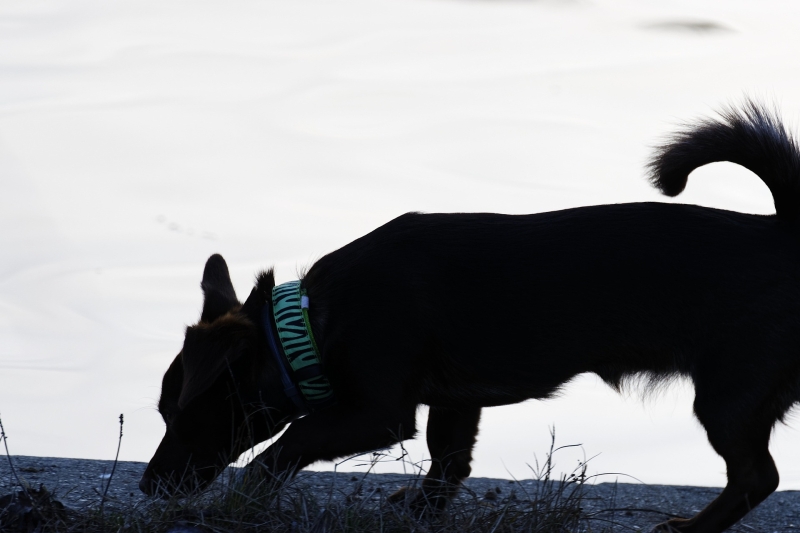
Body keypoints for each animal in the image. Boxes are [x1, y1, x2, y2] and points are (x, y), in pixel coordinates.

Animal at [139, 101, 800, 532]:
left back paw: (693, 530)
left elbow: (287, 444)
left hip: (729, 396)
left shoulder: (376, 413)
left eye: (181, 413)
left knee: (756, 476)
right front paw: (425, 510)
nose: (147, 486)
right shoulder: (455, 401)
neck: (307, 327)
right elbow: (448, 457)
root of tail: (782, 234)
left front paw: (233, 504)